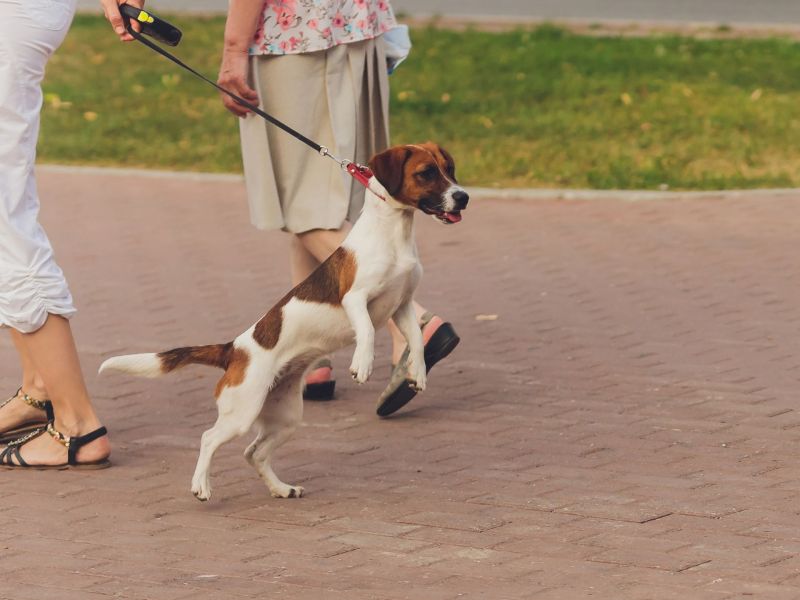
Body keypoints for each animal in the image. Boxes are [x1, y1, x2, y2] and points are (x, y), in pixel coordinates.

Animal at [98, 143, 468, 500]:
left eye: (449, 169)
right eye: (426, 173)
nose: (463, 196)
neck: (391, 233)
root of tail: (233, 349)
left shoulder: (401, 306)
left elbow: (417, 340)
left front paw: (417, 372)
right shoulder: (355, 299)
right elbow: (365, 330)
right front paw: (362, 363)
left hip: (285, 417)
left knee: (254, 453)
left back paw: (280, 488)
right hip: (242, 412)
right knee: (209, 438)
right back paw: (201, 485)